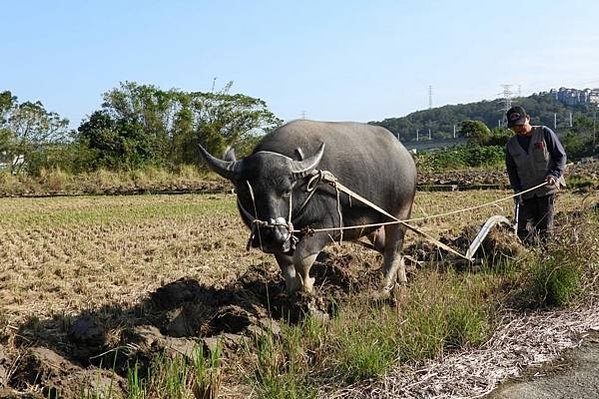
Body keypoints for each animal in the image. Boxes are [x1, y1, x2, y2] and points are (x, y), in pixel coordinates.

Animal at [199, 120, 414, 296]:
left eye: (286, 190)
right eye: (245, 191)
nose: (273, 235)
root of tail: (406, 156)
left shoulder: (329, 225)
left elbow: (302, 257)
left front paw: (309, 287)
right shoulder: (282, 241)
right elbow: (287, 266)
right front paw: (294, 294)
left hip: (399, 216)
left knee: (393, 251)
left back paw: (383, 290)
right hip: (373, 227)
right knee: (394, 251)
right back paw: (401, 283)